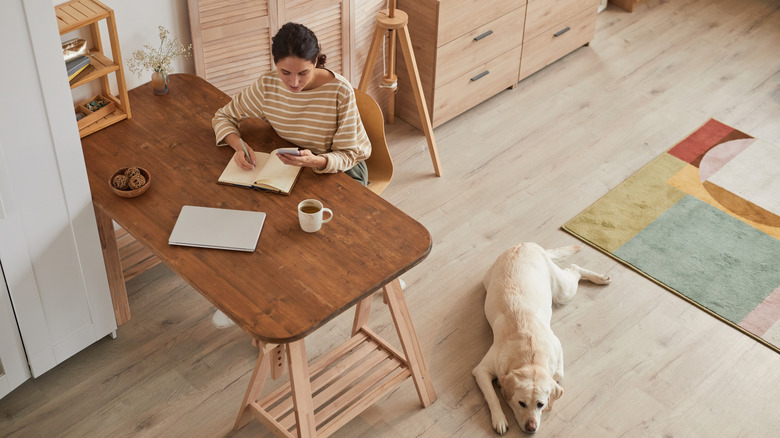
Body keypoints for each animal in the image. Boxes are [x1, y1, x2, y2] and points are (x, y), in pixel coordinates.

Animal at [472, 243, 612, 434]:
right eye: (521, 403)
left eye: (540, 404)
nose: (531, 427)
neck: (529, 357)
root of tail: (525, 244)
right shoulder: (481, 370)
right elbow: (492, 396)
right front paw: (499, 419)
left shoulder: (557, 346)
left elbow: (558, 375)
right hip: (490, 281)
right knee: (573, 268)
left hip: (562, 289)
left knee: (574, 269)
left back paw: (600, 277)